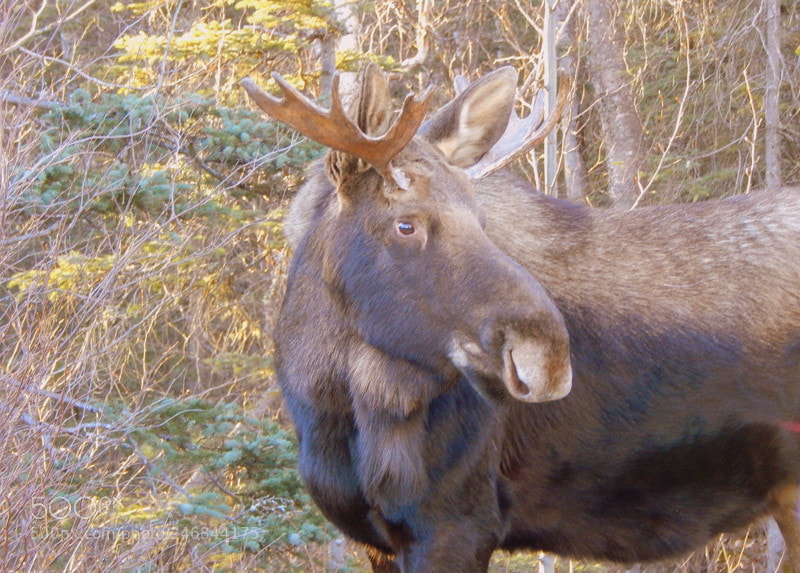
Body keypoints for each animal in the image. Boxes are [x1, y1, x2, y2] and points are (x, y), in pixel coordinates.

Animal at [242, 64, 800, 572]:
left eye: (482, 220)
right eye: (405, 224)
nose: (548, 359)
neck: (329, 405)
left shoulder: (457, 526)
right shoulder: (376, 540)